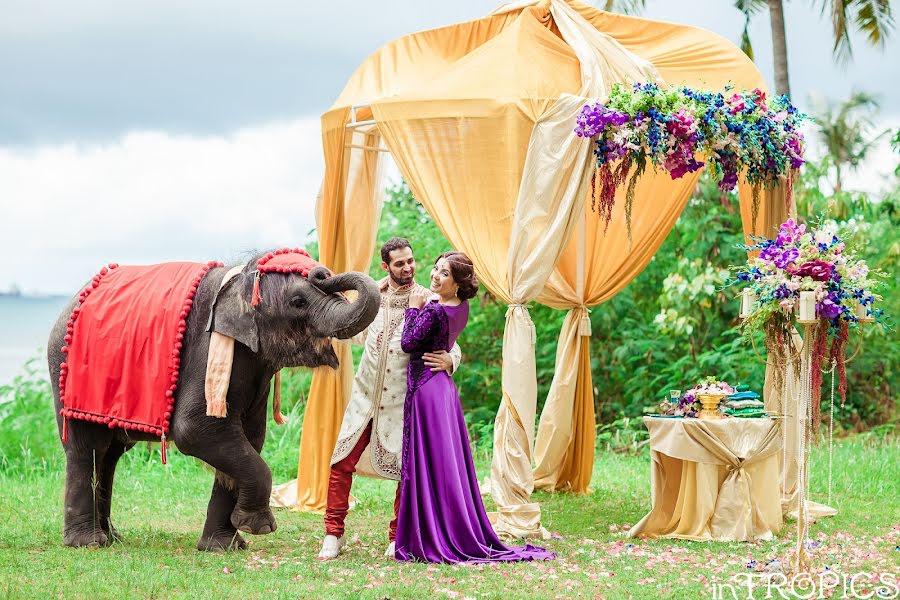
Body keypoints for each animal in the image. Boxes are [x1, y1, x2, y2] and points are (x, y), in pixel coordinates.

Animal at [47, 251, 378, 552]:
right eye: (298, 302)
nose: (321, 272)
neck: (242, 279)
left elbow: (249, 437)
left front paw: (225, 546)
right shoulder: (206, 352)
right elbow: (196, 431)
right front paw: (258, 528)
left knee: (110, 454)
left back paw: (112, 537)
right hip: (67, 374)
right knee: (87, 448)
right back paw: (88, 543)